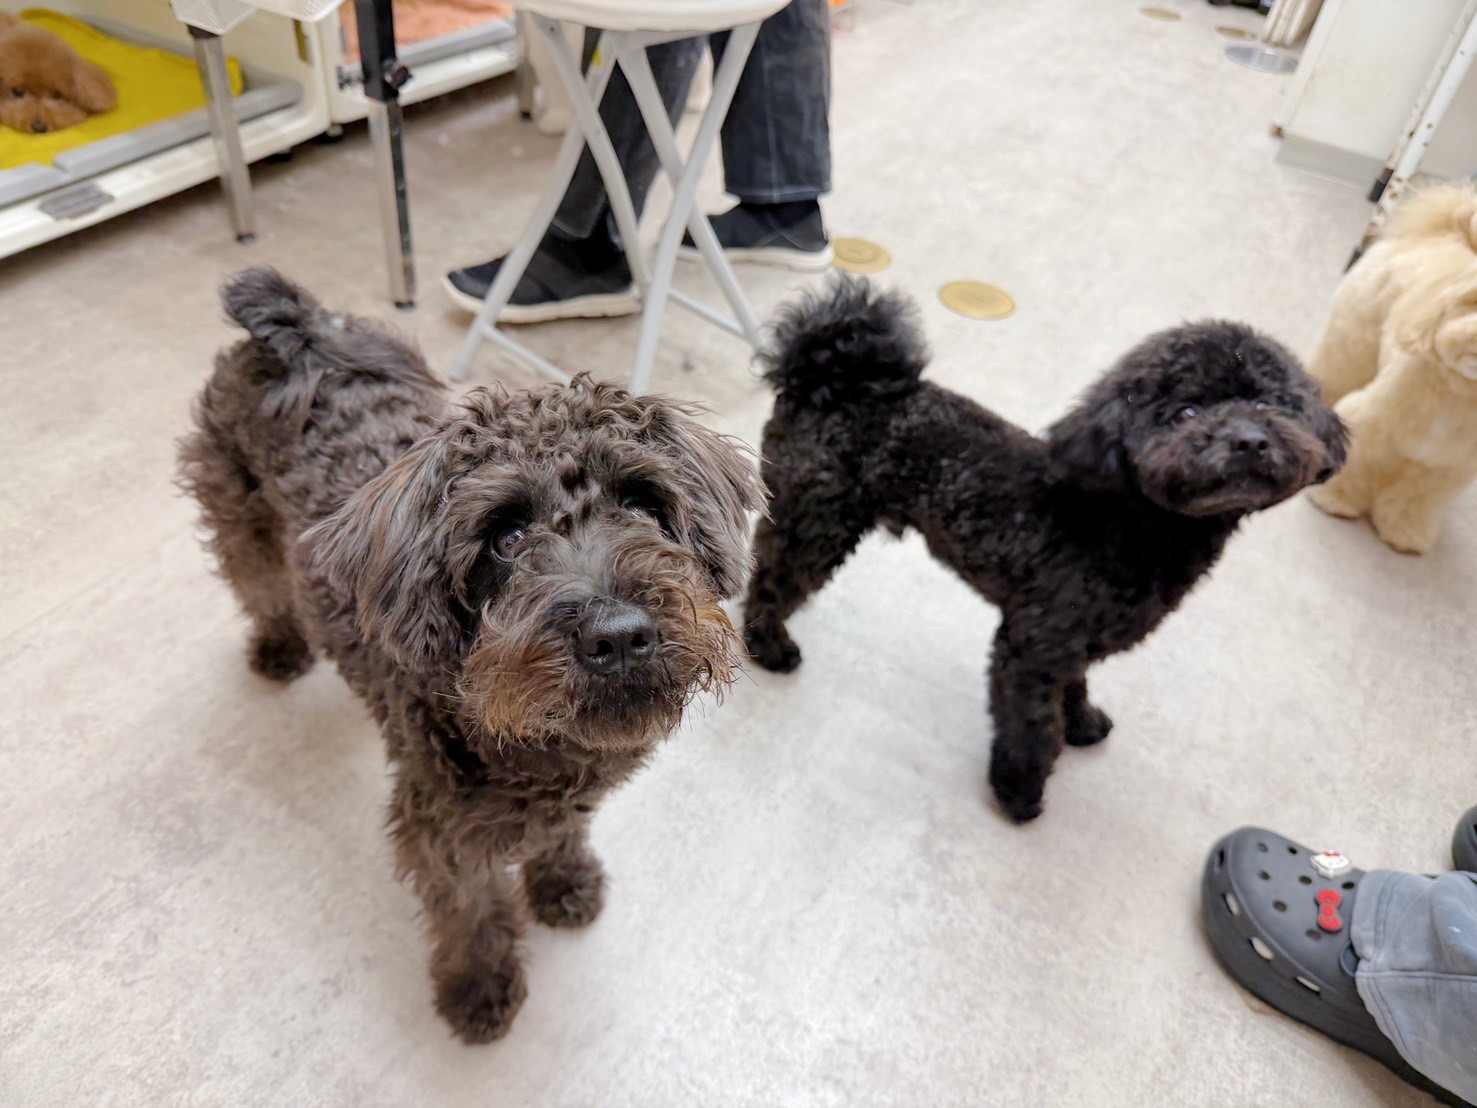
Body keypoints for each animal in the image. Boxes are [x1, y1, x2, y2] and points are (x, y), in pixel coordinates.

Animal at [179, 268, 760, 1043]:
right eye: (506, 537)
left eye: (642, 504)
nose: (619, 634)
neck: (533, 742)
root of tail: (296, 332)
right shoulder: (439, 831)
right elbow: (471, 912)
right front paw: (479, 989)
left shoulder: (568, 799)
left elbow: (559, 835)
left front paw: (563, 883)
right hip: (238, 516)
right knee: (260, 586)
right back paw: (278, 646)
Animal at [742, 278, 1346, 823]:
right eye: (1187, 413)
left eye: (1267, 403)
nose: (1249, 440)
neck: (1130, 520)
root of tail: (826, 379)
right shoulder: (1032, 646)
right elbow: (1033, 726)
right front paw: (1019, 792)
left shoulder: (1074, 641)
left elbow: (1074, 689)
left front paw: (1083, 723)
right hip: (815, 524)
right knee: (770, 583)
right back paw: (768, 647)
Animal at [1304, 182, 1477, 553]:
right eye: (1472, 303)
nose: (1473, 337)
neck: (1460, 395)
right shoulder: (1368, 424)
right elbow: (1357, 463)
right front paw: (1335, 499)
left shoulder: (1445, 467)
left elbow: (1415, 497)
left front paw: (1404, 531)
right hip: (1352, 344)